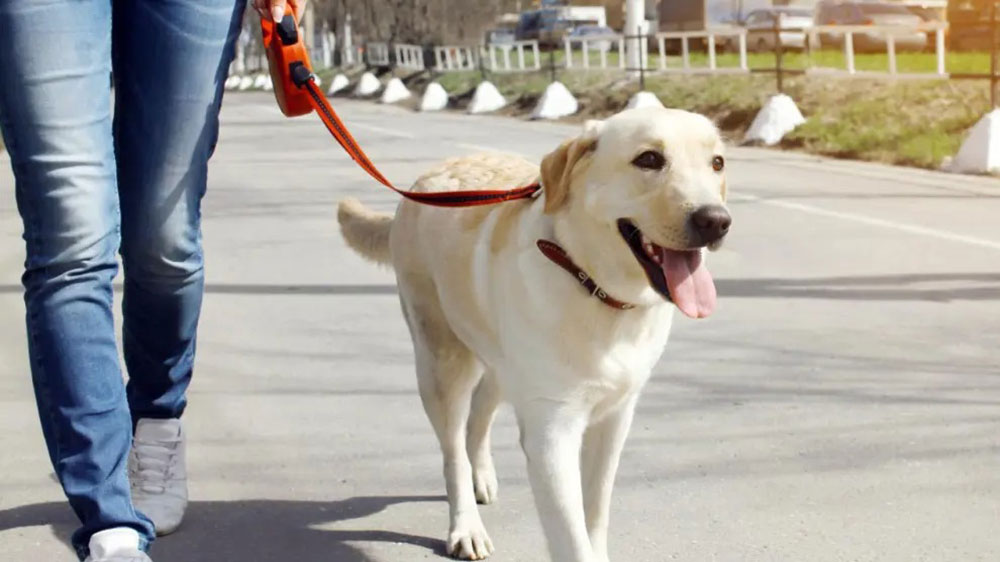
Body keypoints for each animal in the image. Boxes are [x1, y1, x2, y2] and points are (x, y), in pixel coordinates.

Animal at [336, 107, 728, 556]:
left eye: (717, 163)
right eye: (648, 159)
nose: (716, 221)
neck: (592, 285)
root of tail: (420, 184)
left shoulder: (615, 418)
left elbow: (596, 511)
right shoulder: (551, 433)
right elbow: (572, 538)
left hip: (500, 361)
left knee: (479, 414)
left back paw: (481, 475)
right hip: (441, 361)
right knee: (452, 449)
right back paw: (466, 525)